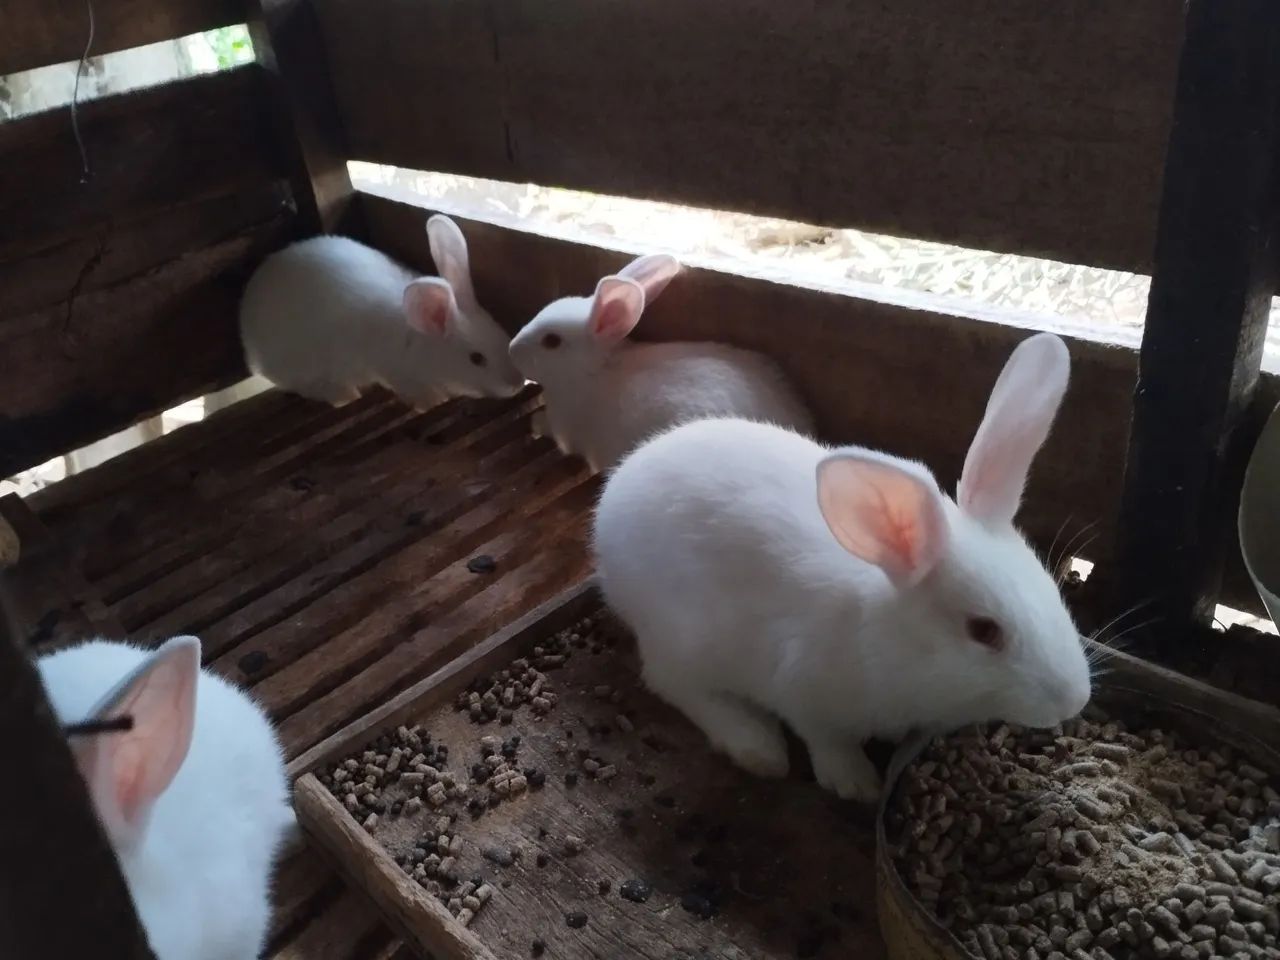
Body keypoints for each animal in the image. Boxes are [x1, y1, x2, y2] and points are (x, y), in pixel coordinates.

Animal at [240, 214, 525, 409]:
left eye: (502, 331)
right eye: (476, 359)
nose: (517, 382)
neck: (416, 341)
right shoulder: (394, 372)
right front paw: (434, 401)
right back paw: (344, 395)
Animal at [593, 332, 1091, 803]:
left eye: (1054, 592)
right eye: (984, 631)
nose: (1075, 699)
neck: (888, 638)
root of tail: (613, 502)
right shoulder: (803, 690)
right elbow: (827, 740)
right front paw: (855, 783)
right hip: (684, 637)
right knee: (671, 682)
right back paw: (757, 746)